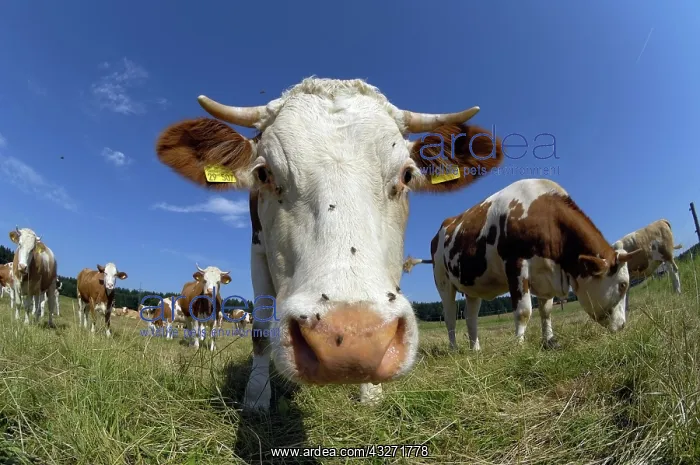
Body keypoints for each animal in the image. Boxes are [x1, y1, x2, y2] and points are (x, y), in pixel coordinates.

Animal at [154, 77, 505, 411]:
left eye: (407, 175)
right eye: (263, 173)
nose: (352, 341)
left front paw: (370, 392)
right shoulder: (257, 251)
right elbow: (261, 329)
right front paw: (256, 397)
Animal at [402, 179, 642, 351]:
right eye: (623, 285)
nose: (622, 325)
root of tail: (444, 225)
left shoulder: (547, 275)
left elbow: (546, 311)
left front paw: (550, 340)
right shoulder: (516, 265)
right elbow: (524, 311)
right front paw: (519, 345)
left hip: (471, 286)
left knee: (471, 318)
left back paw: (475, 349)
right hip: (443, 281)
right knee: (450, 316)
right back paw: (453, 349)